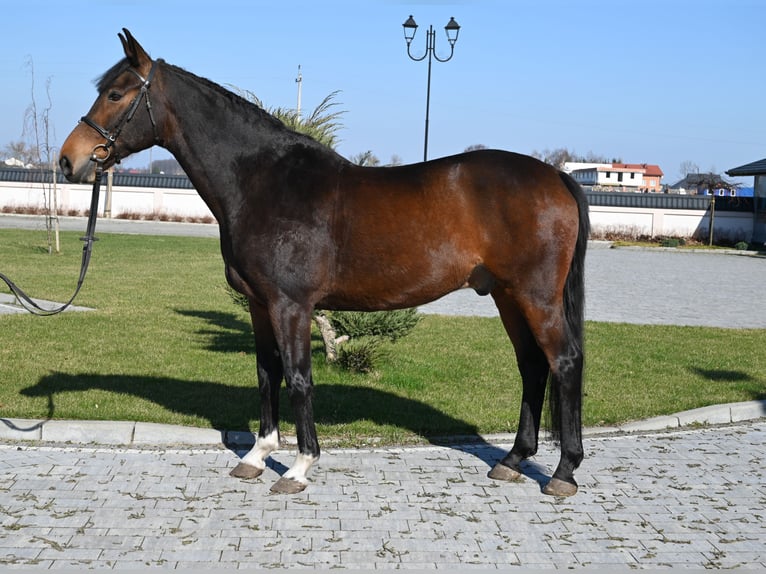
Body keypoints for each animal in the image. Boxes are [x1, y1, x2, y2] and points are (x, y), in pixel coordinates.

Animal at [59, 29, 589, 497]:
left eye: (115, 93)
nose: (69, 161)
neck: (262, 181)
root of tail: (557, 178)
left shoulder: (291, 305)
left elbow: (298, 379)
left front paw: (298, 467)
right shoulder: (260, 305)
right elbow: (266, 374)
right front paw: (256, 456)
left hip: (535, 296)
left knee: (563, 361)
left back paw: (563, 473)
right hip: (506, 295)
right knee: (532, 366)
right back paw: (513, 461)